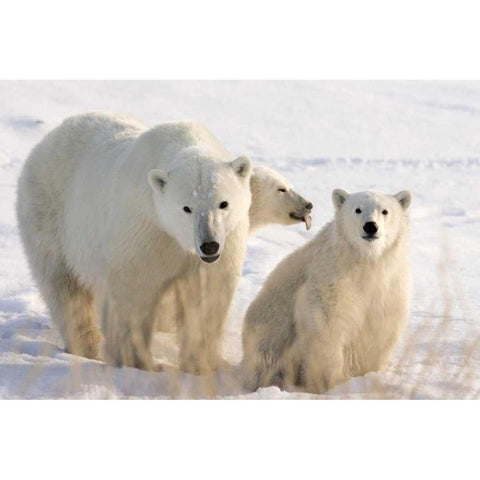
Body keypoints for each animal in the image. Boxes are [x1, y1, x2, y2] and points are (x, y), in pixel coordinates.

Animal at [16, 111, 253, 372]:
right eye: (186, 208)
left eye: (223, 203)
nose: (208, 245)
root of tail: (49, 138)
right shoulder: (146, 230)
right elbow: (135, 293)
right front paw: (140, 362)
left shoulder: (226, 240)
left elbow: (207, 295)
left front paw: (200, 364)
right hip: (49, 215)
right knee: (64, 289)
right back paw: (85, 346)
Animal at [244, 188, 412, 394]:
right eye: (357, 209)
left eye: (385, 211)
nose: (370, 226)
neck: (365, 260)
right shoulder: (332, 279)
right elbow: (328, 324)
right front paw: (331, 382)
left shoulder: (388, 284)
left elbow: (381, 325)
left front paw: (370, 374)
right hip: (269, 333)